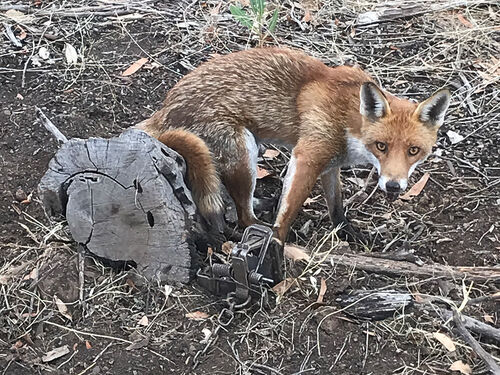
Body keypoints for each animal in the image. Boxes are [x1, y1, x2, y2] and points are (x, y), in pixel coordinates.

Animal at [136, 47, 450, 245]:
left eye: (413, 151)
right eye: (381, 146)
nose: (394, 187)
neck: (346, 118)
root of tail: (165, 108)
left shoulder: (331, 163)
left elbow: (337, 207)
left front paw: (347, 232)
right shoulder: (308, 155)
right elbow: (288, 213)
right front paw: (276, 244)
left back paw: (261, 203)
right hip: (243, 152)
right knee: (243, 218)